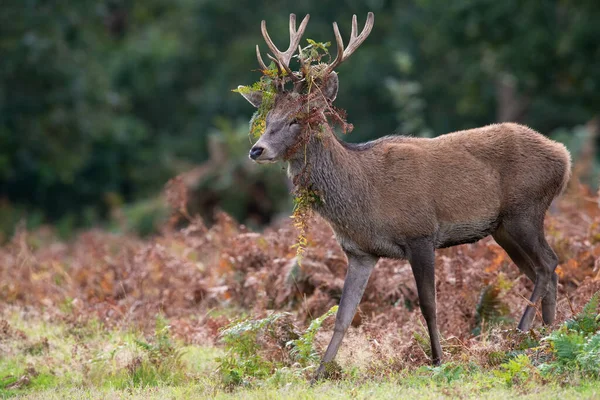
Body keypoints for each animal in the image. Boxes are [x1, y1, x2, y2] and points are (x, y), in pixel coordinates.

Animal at [234, 11, 572, 382]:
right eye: (267, 118)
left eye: (296, 119)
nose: (256, 149)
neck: (364, 198)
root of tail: (564, 157)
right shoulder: (360, 252)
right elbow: (342, 315)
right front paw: (319, 373)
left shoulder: (420, 233)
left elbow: (428, 305)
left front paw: (438, 360)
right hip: (503, 229)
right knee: (543, 270)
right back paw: (548, 336)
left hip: (525, 209)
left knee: (548, 264)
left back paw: (522, 333)